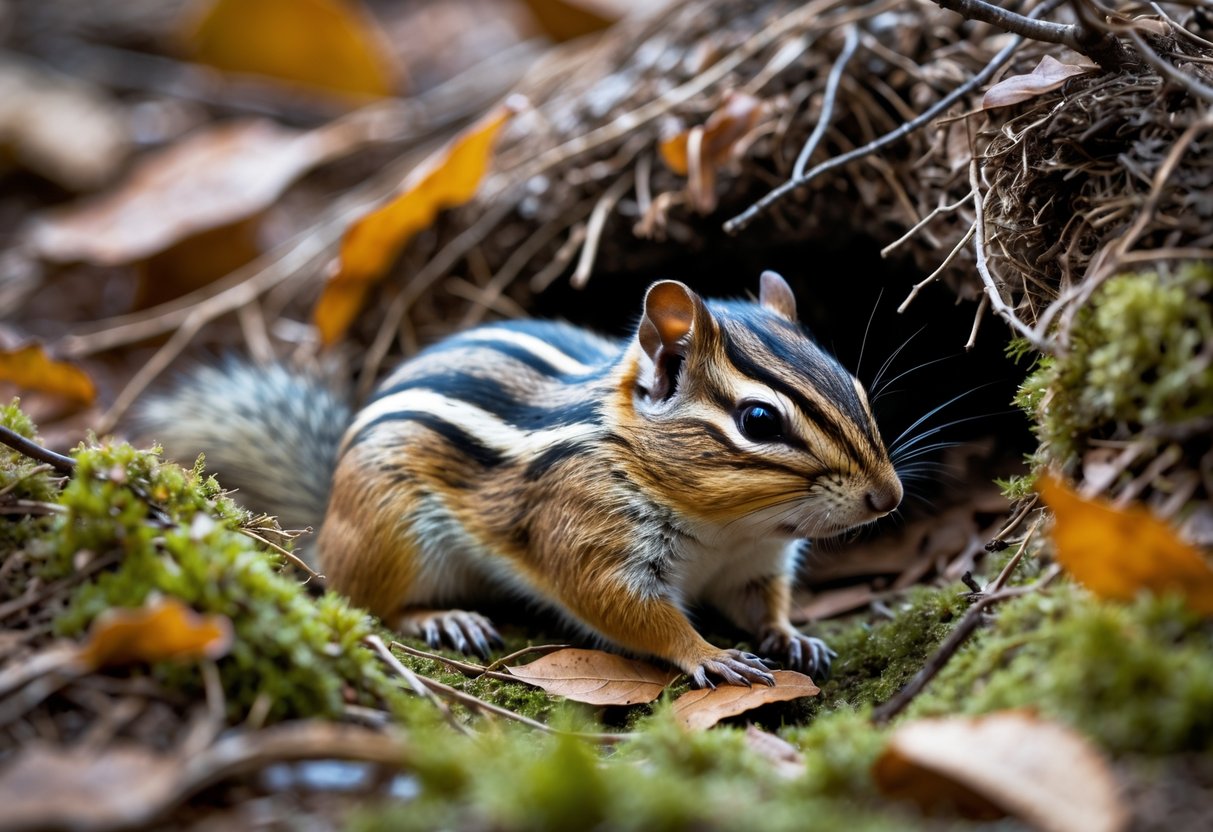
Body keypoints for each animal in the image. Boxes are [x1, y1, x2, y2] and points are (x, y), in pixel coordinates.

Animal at [139, 271, 902, 687]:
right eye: (758, 420)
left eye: (857, 388)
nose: (887, 498)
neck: (729, 529)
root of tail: (328, 512)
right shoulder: (590, 537)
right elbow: (628, 611)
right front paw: (710, 656)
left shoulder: (755, 563)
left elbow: (764, 603)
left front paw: (791, 636)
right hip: (392, 533)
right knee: (365, 598)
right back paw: (443, 616)